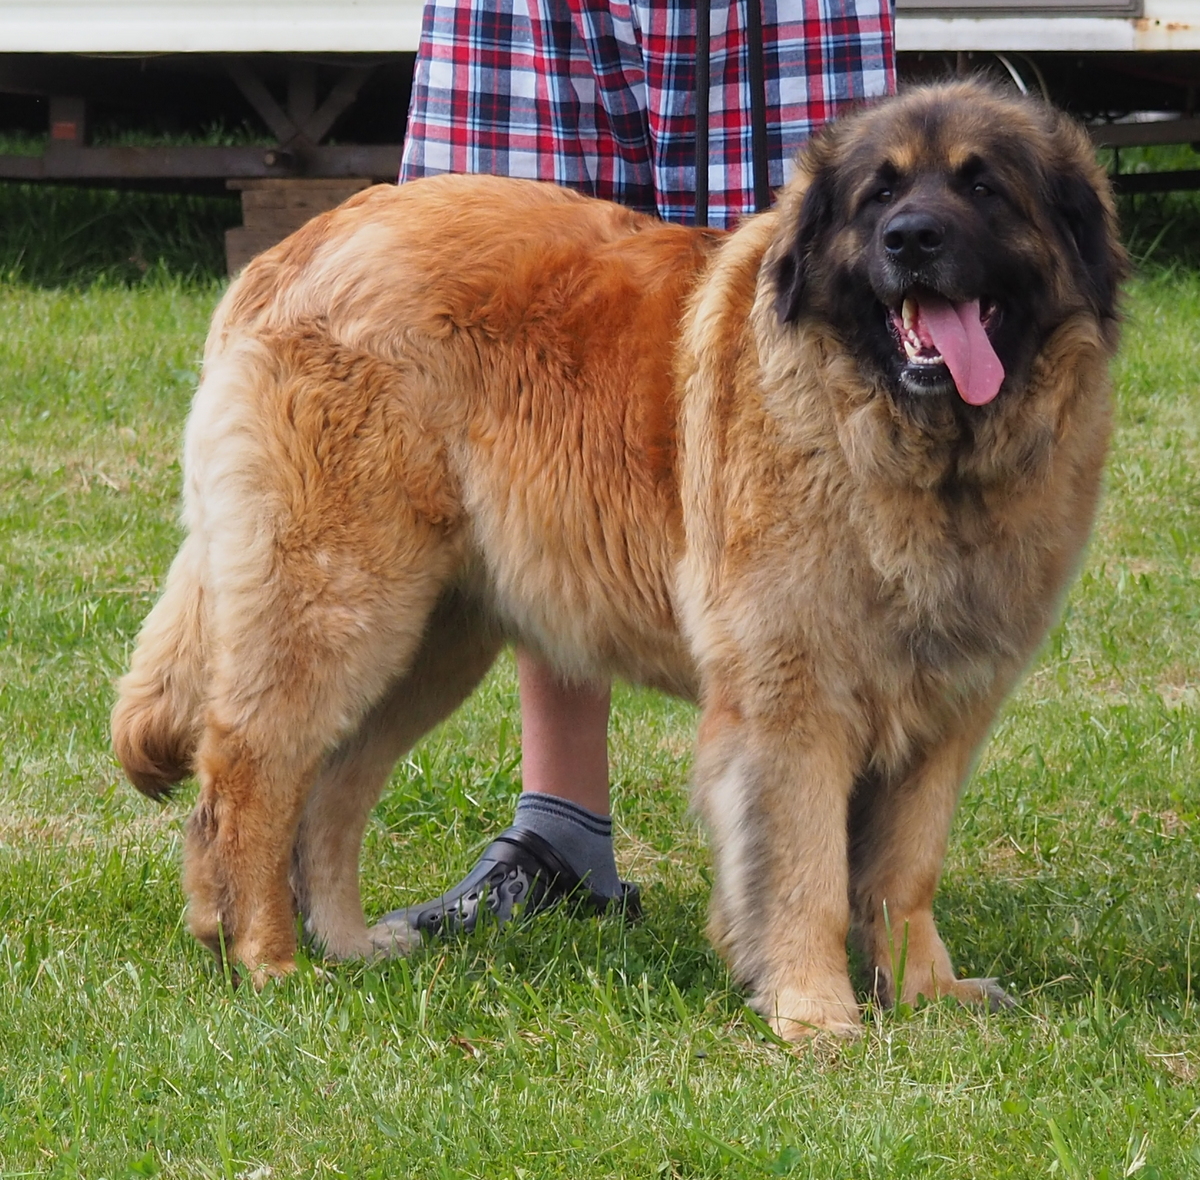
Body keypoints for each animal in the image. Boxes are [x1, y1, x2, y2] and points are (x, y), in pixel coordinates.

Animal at [110, 82, 1123, 1037]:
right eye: (881, 193)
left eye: (983, 187)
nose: (911, 240)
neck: (902, 439)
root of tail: (295, 249)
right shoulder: (792, 698)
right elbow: (804, 870)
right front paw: (812, 1010)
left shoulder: (945, 712)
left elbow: (903, 871)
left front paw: (924, 995)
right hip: (341, 600)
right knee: (249, 766)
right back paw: (267, 958)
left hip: (430, 637)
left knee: (331, 790)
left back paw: (346, 944)